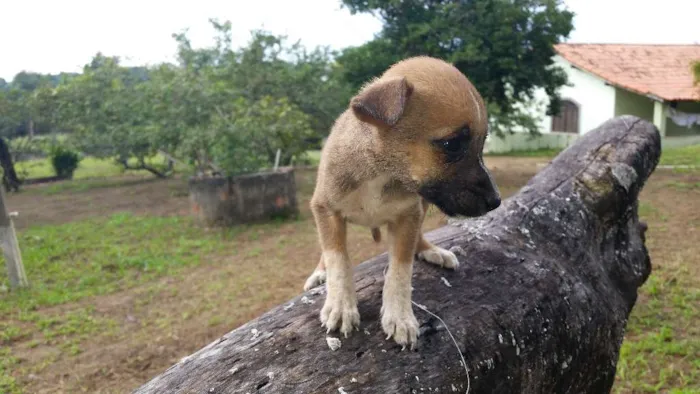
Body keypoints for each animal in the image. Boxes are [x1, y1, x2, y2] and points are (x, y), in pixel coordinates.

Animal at [304, 56, 500, 348]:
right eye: (452, 144)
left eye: (482, 142)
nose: (495, 201)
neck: (382, 172)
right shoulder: (326, 208)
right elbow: (337, 259)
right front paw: (340, 305)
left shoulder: (408, 215)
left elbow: (400, 269)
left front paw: (399, 316)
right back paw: (319, 273)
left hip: (423, 204)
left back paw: (431, 250)